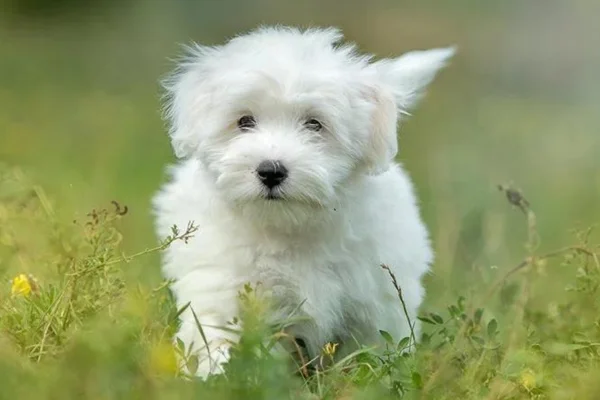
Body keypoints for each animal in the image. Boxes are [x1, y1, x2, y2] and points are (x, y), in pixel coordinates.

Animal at [152, 25, 452, 378]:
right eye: (244, 121)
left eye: (314, 123)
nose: (271, 170)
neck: (288, 227)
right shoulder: (220, 286)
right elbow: (215, 337)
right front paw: (218, 377)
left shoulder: (375, 301)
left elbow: (373, 351)